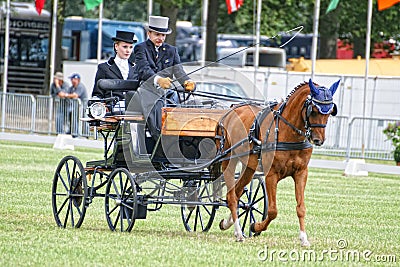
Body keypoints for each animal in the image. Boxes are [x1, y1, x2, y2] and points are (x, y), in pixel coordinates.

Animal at [214, 78, 340, 246]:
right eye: (313, 110)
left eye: (330, 111)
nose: (318, 139)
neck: (288, 133)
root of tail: (230, 111)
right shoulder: (271, 175)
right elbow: (273, 211)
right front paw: (256, 226)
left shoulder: (301, 173)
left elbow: (301, 207)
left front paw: (303, 238)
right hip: (229, 160)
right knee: (231, 196)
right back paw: (239, 233)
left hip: (249, 167)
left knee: (237, 191)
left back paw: (229, 225)